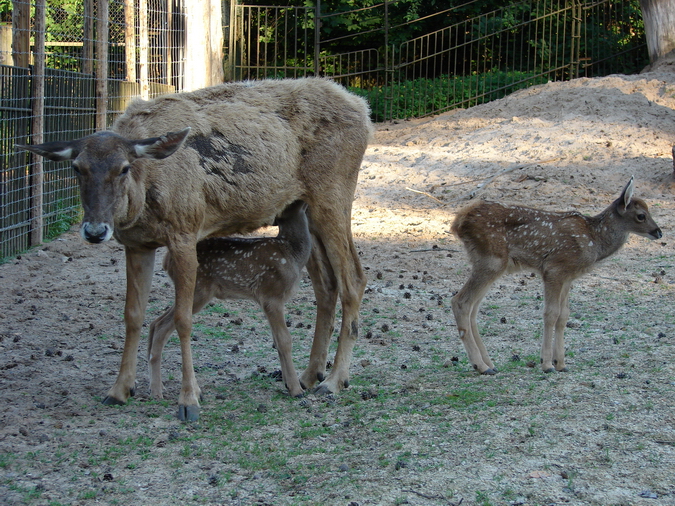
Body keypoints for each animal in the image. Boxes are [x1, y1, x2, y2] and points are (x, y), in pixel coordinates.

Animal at [148, 200, 311, 399]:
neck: (292, 254)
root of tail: (166, 261)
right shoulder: (271, 294)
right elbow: (284, 340)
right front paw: (296, 389)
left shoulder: (267, 300)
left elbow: (276, 341)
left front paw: (288, 383)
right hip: (199, 290)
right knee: (163, 325)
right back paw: (157, 391)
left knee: (156, 322)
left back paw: (157, 385)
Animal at [451, 177, 662, 375]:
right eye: (641, 216)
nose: (659, 232)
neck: (594, 240)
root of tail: (458, 222)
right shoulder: (554, 269)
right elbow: (550, 314)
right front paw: (546, 364)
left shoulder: (568, 277)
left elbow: (564, 315)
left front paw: (560, 363)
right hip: (491, 260)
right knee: (461, 301)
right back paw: (481, 366)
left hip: (491, 264)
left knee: (473, 308)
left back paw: (489, 364)